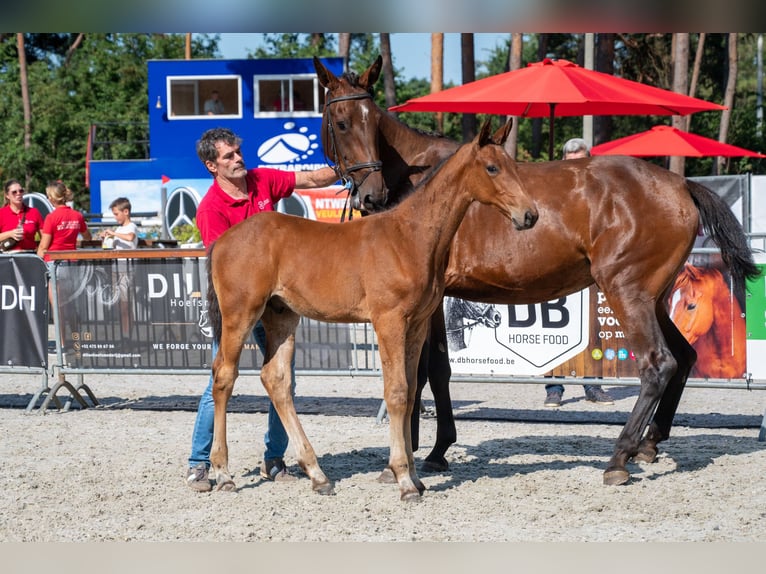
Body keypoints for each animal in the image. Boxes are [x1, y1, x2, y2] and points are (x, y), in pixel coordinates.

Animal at [207, 119, 538, 501]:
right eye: (492, 168)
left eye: (513, 166)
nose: (530, 215)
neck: (410, 236)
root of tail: (222, 241)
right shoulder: (389, 321)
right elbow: (396, 393)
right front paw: (404, 480)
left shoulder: (417, 325)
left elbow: (411, 390)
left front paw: (415, 477)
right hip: (240, 314)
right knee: (223, 376)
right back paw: (222, 473)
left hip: (282, 316)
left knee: (275, 380)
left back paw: (317, 475)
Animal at [315, 55, 761, 486]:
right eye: (342, 121)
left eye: (370, 120)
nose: (371, 195)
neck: (428, 184)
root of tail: (680, 185)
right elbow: (429, 372)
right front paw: (429, 451)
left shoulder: (431, 301)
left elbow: (426, 373)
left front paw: (420, 455)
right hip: (655, 298)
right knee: (684, 357)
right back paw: (649, 442)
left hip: (626, 292)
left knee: (658, 364)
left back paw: (619, 457)